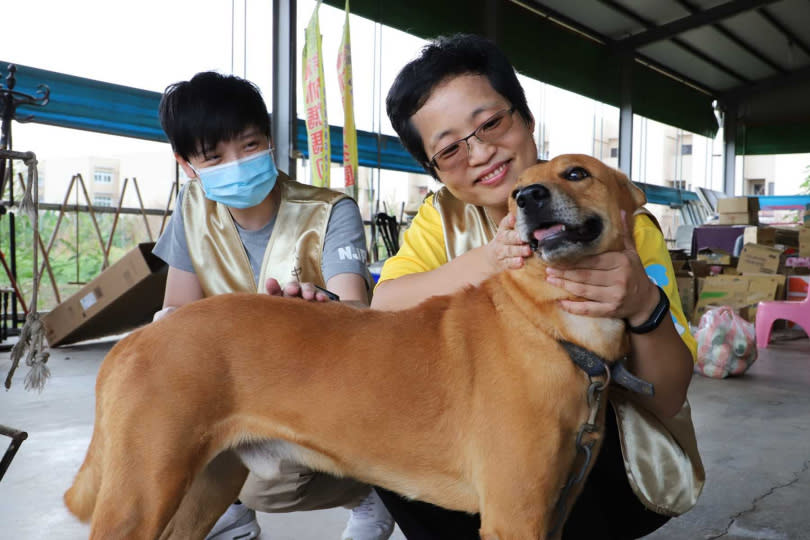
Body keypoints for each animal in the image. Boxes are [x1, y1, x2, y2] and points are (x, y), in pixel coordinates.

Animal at [64, 154, 644, 536]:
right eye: (515, 190)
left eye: (577, 173)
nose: (527, 199)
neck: (550, 325)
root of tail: (140, 337)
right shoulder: (514, 515)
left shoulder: (552, 509)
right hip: (142, 493)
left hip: (203, 487)